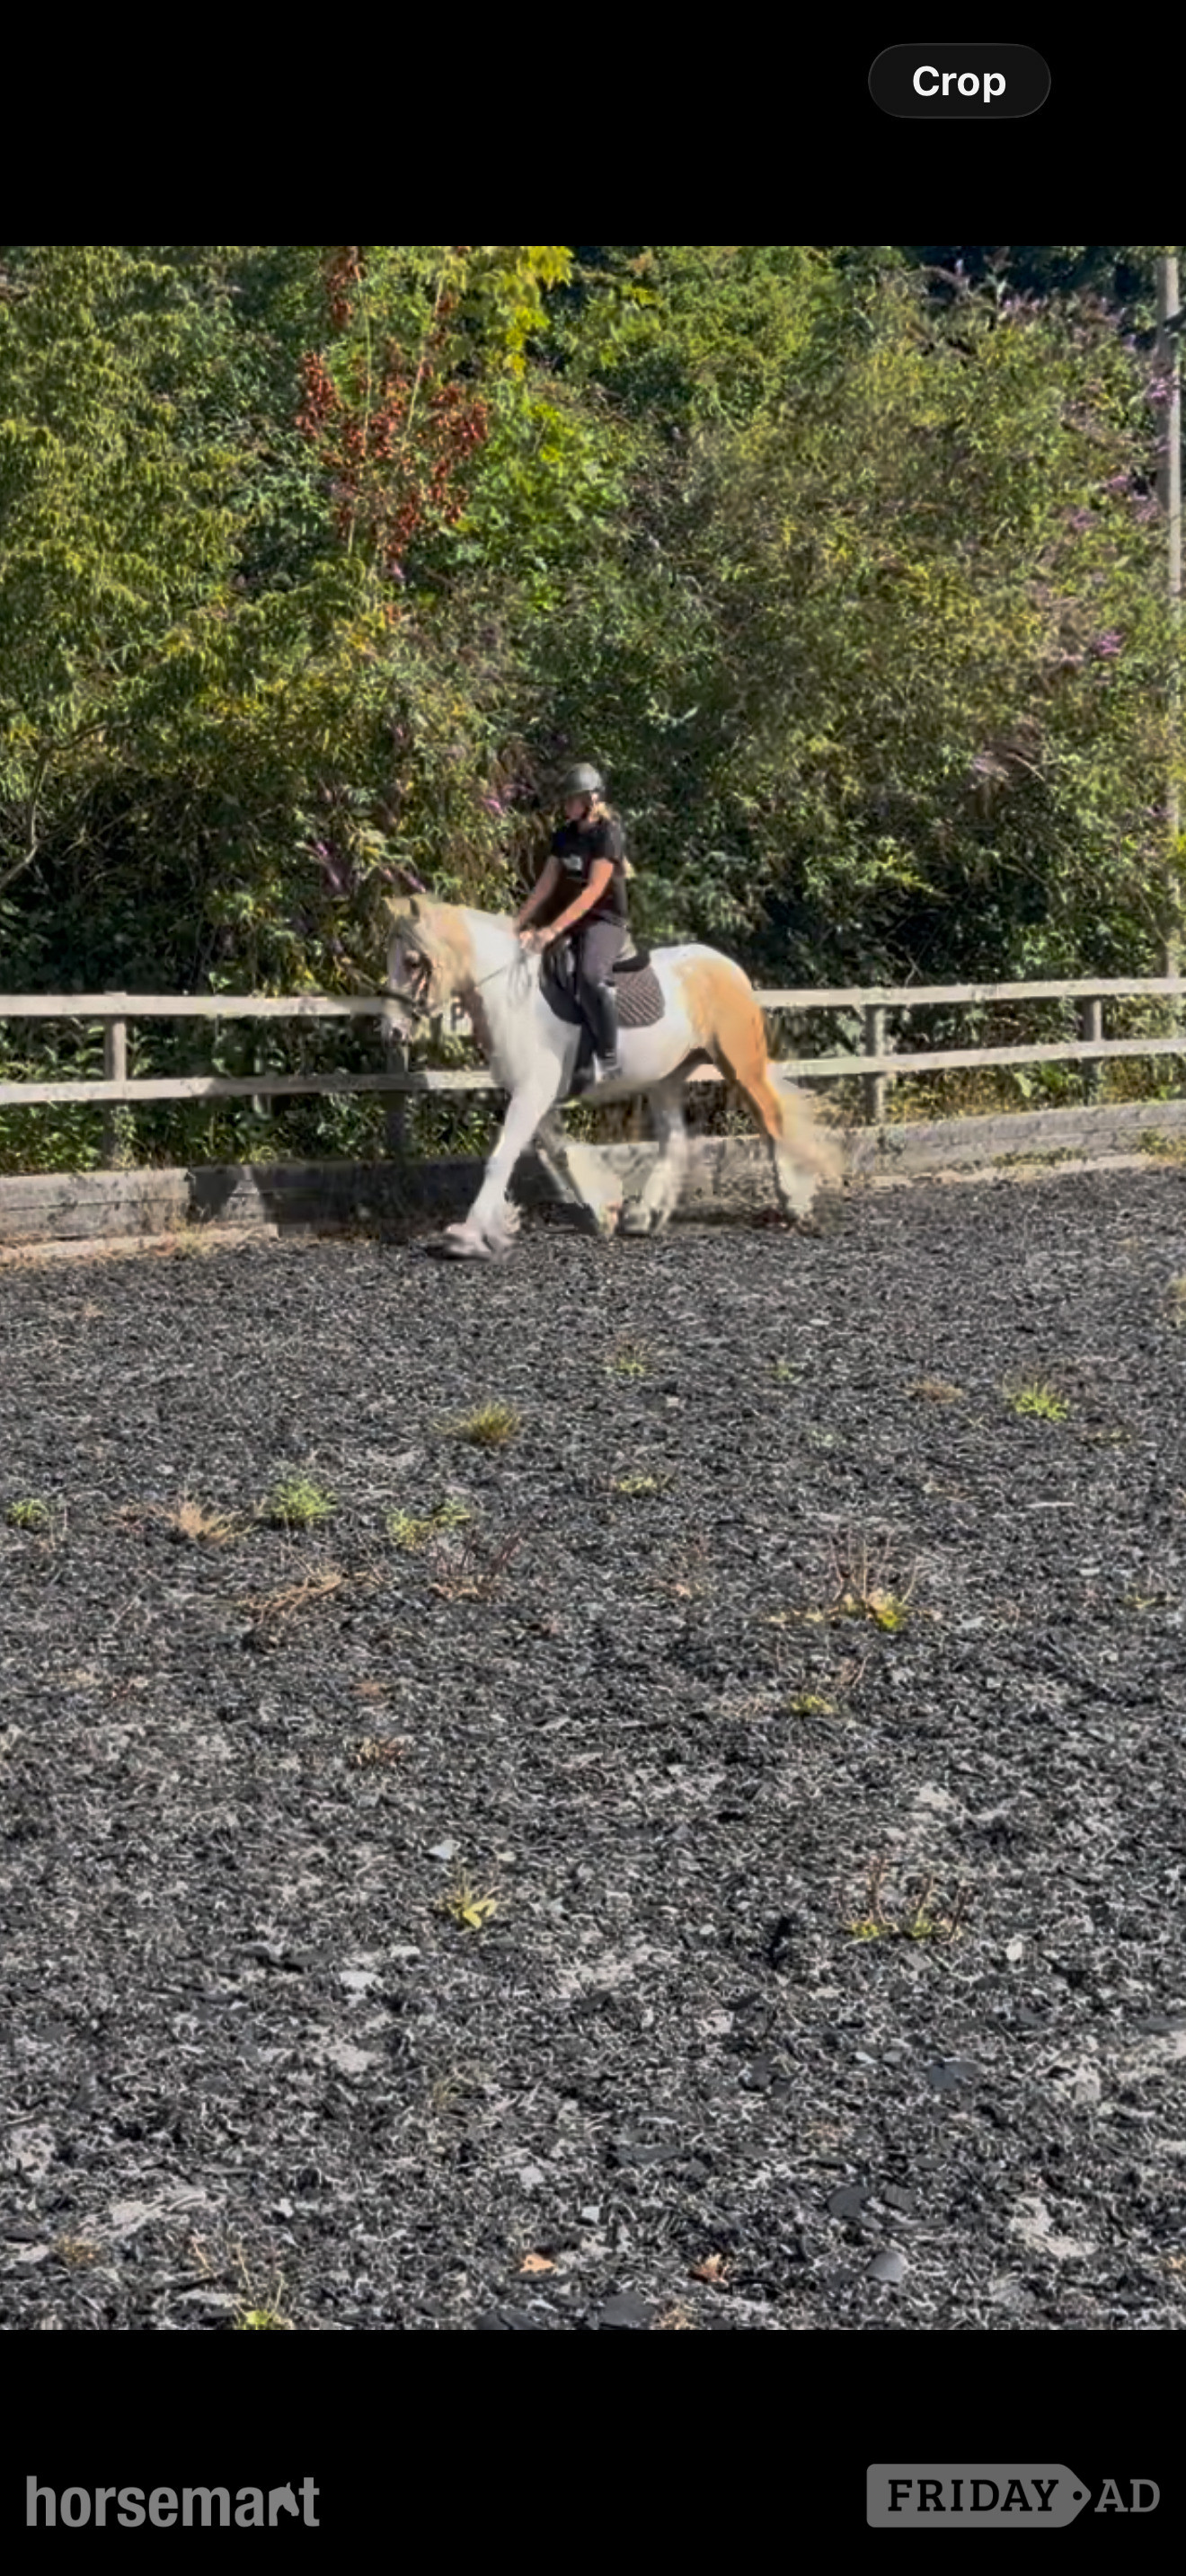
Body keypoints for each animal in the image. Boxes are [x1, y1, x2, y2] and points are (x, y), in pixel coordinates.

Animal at [379, 888, 843, 1257]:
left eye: (413, 961)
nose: (391, 1032)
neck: (512, 995)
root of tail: (724, 964)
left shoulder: (533, 1092)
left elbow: (501, 1158)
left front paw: (467, 1236)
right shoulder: (534, 1093)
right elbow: (559, 1152)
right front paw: (604, 1210)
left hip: (738, 1062)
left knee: (770, 1119)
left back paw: (794, 1205)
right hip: (666, 1078)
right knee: (674, 1138)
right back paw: (645, 1214)